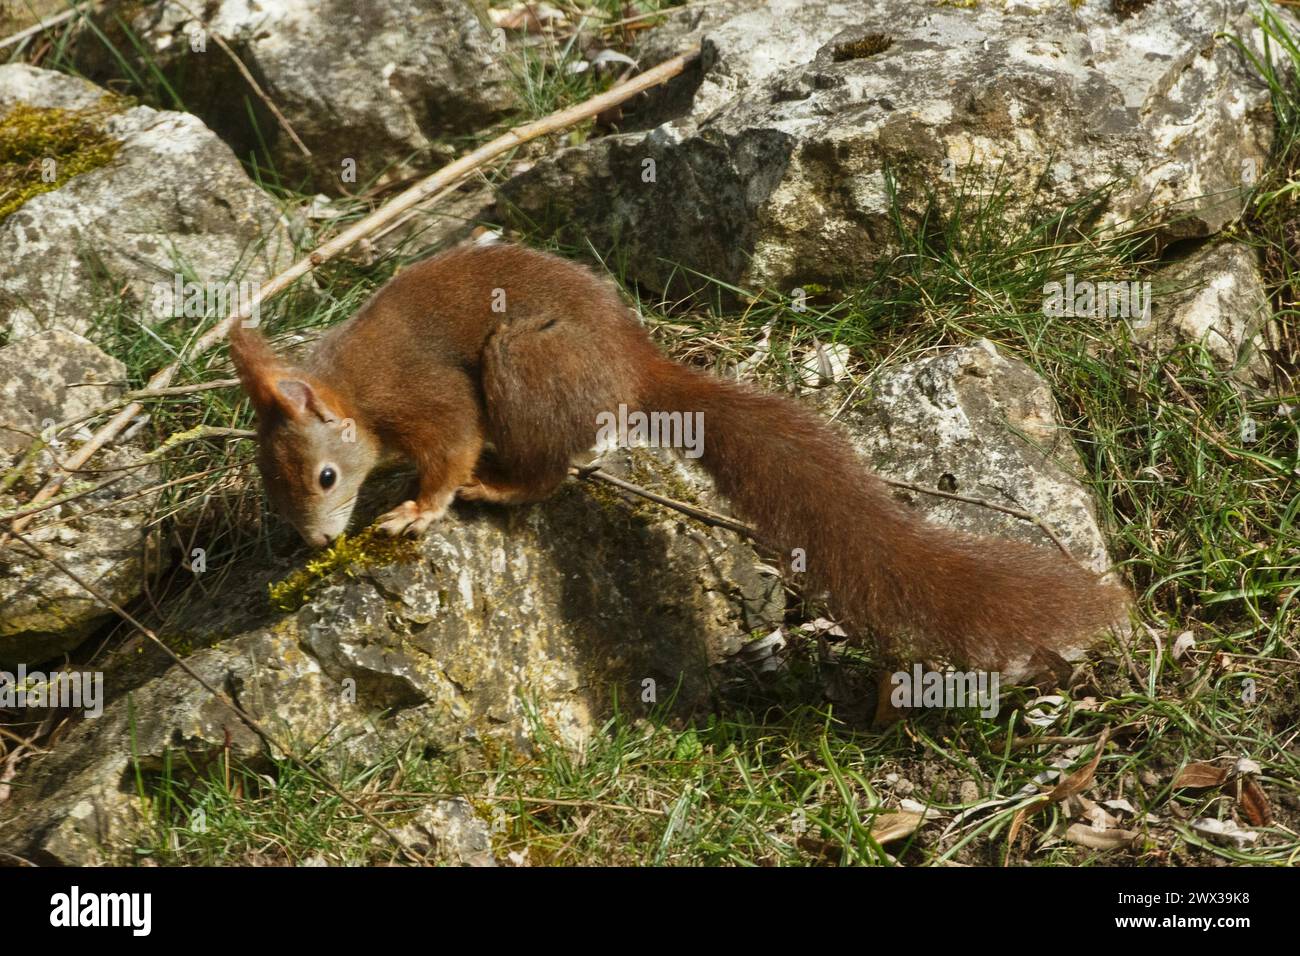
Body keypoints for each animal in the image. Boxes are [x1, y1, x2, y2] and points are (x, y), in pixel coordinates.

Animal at [231, 243, 1128, 676]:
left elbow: (448, 450)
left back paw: (500, 486)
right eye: (272, 489)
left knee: (550, 469)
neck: (351, 387)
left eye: (325, 477)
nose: (315, 543)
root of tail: (635, 367)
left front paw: (419, 506)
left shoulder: (428, 399)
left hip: (523, 363)